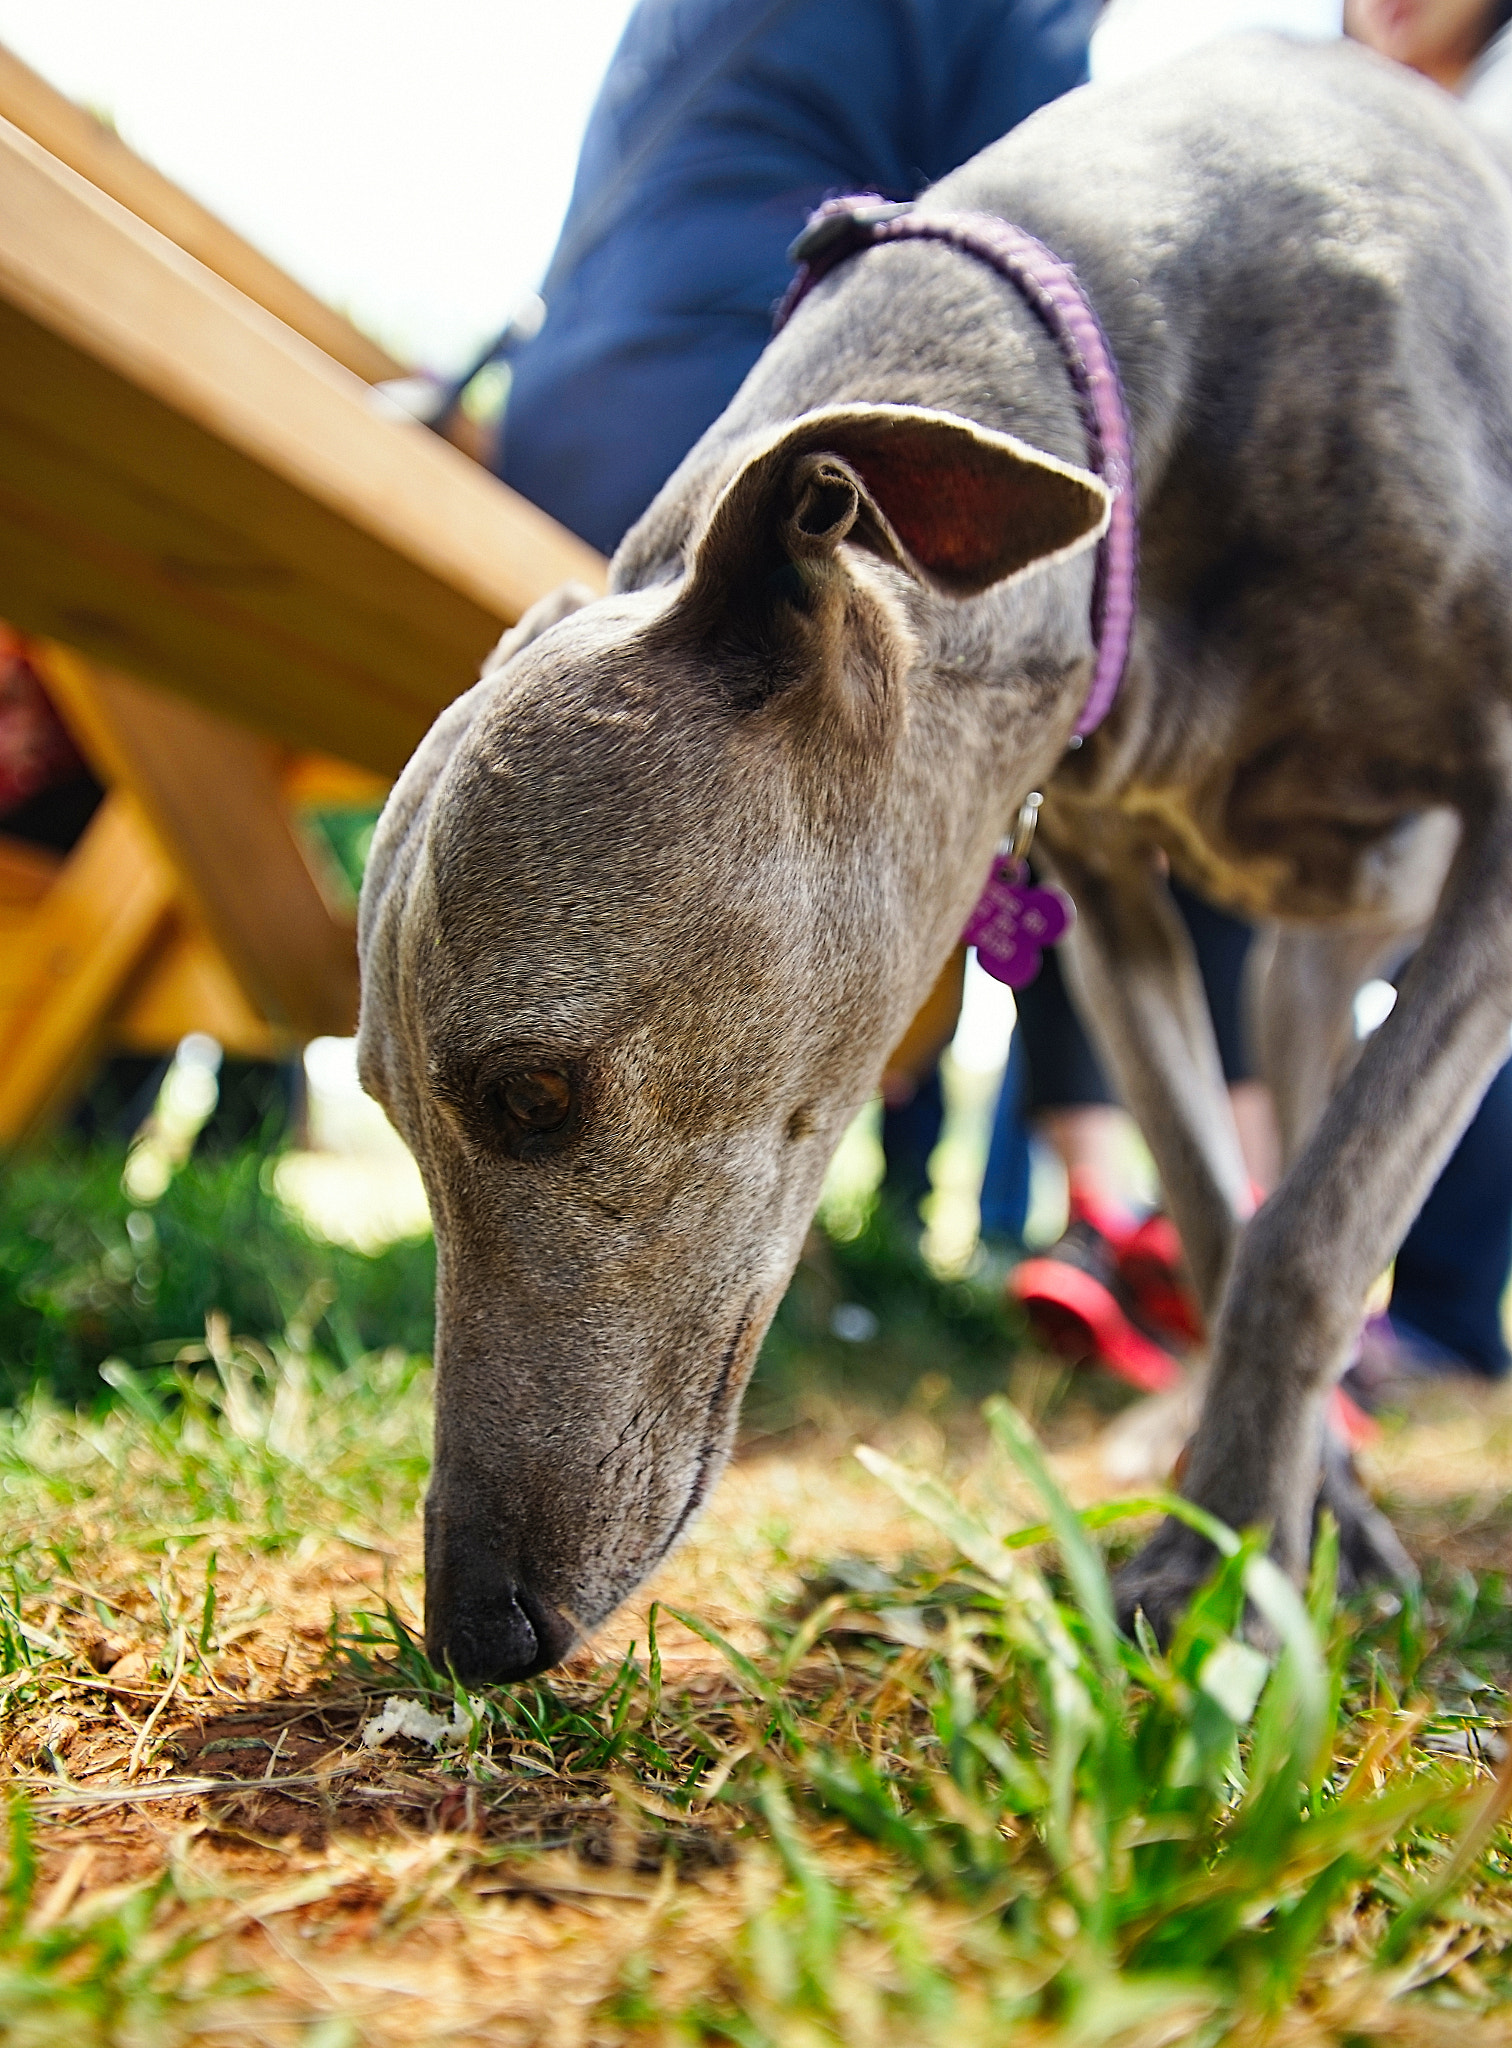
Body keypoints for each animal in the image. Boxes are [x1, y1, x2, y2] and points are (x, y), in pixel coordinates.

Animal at [356, 36, 1507, 1679]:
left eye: (533, 1095)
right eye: (385, 1111)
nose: (476, 1627)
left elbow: (1309, 1231)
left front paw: (1212, 1566)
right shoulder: (1106, 900)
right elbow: (1225, 1218)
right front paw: (1270, 1528)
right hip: (1297, 970)